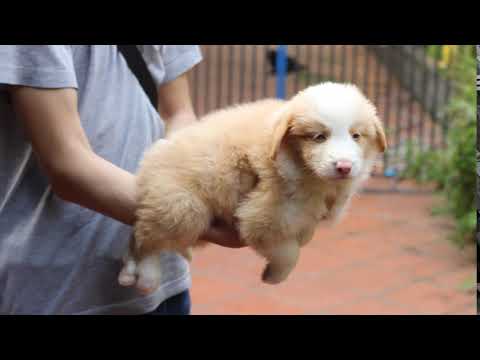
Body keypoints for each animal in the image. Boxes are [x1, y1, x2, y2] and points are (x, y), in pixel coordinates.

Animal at [119, 82, 386, 296]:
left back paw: (129, 272)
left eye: (356, 136)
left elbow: (304, 237)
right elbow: (290, 252)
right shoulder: (266, 217)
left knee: (139, 235)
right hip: (181, 207)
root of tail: (149, 160)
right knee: (148, 241)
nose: (344, 167)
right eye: (318, 137)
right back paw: (147, 277)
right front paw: (274, 276)